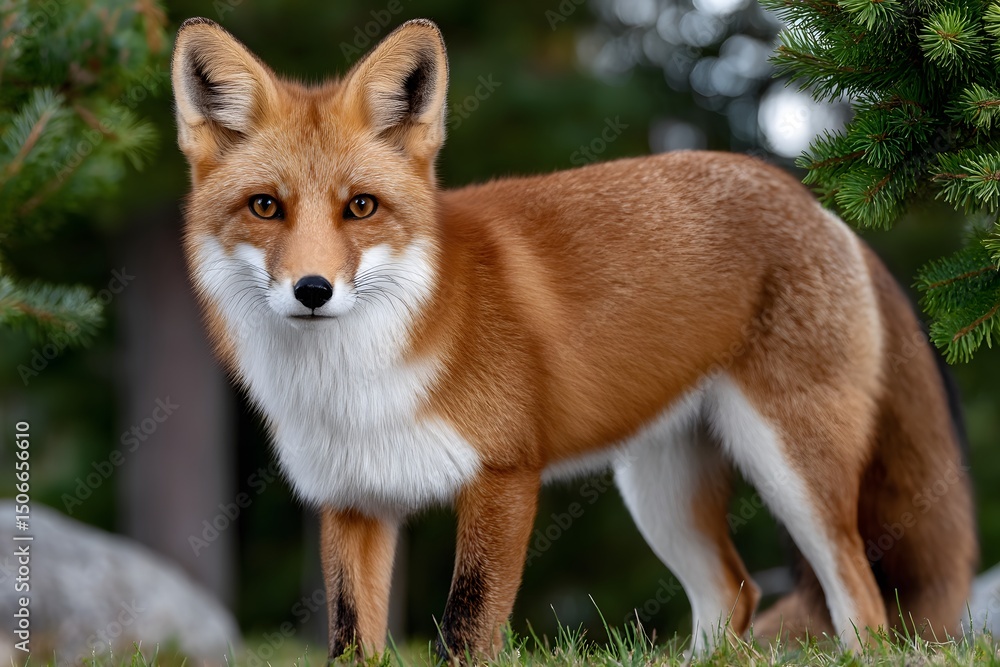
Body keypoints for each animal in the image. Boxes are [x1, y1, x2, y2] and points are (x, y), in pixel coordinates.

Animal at [171, 16, 977, 661]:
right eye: (265, 207)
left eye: (360, 207)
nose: (312, 290)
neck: (351, 383)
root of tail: (820, 204)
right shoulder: (352, 502)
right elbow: (347, 639)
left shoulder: (503, 476)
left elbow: (466, 629)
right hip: (658, 487)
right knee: (735, 593)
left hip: (793, 471)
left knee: (861, 603)